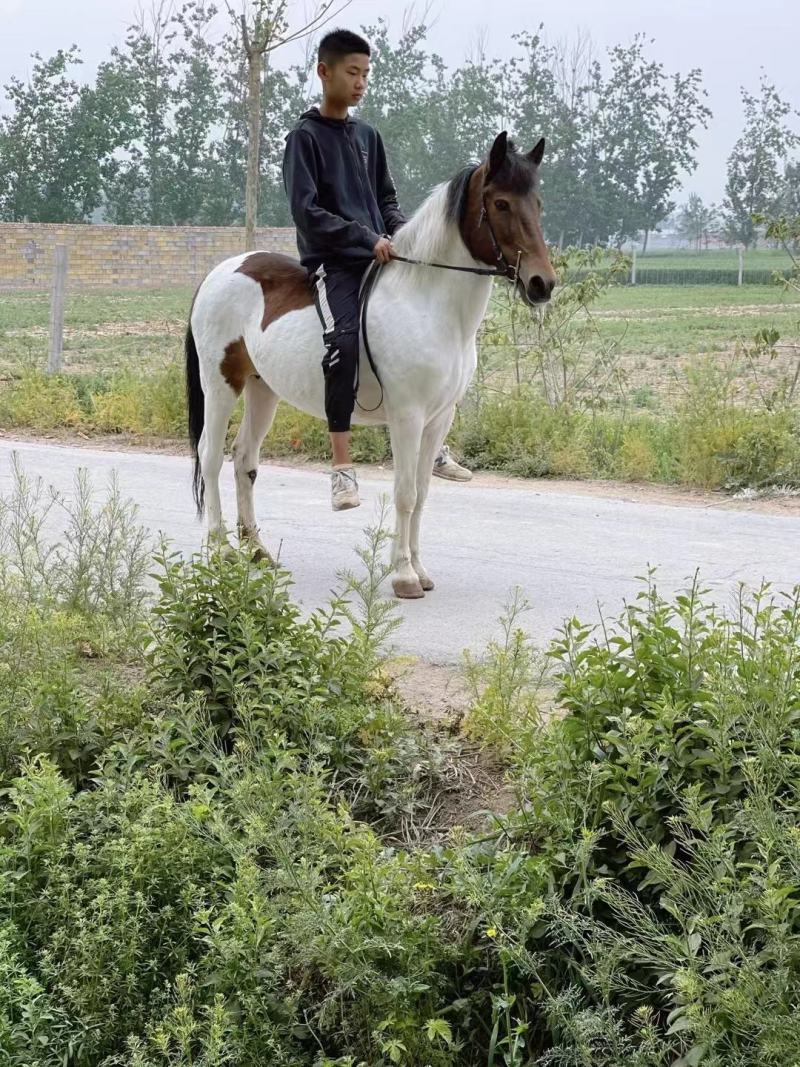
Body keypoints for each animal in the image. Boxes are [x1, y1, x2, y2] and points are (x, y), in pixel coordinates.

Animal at [184, 130, 556, 599]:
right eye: (502, 204)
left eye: (538, 204)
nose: (543, 284)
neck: (428, 302)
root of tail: (220, 272)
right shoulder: (407, 417)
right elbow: (405, 493)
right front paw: (403, 575)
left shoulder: (439, 419)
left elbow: (423, 492)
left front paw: (420, 568)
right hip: (221, 384)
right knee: (210, 456)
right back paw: (221, 550)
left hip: (261, 388)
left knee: (244, 459)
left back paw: (256, 550)